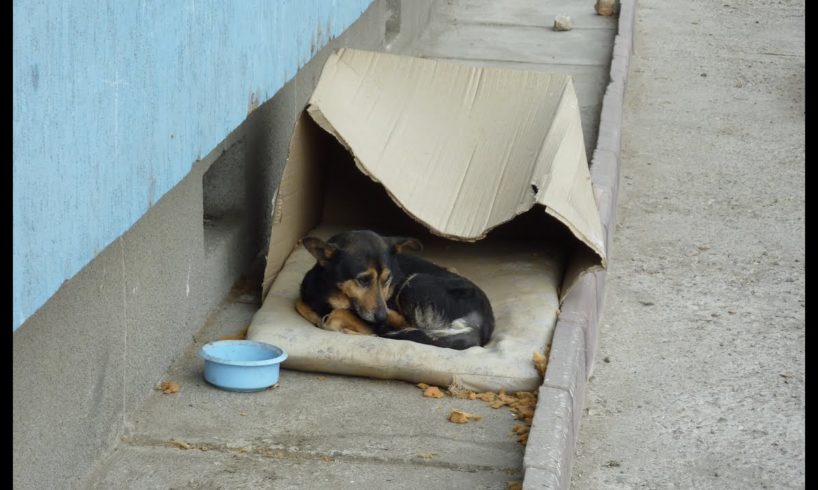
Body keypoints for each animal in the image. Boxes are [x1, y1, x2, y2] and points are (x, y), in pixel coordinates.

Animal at [296, 230, 494, 348]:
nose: (382, 317)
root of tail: (481, 325)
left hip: (416, 283)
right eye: (363, 280)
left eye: (387, 279)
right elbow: (301, 304)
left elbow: (337, 315)